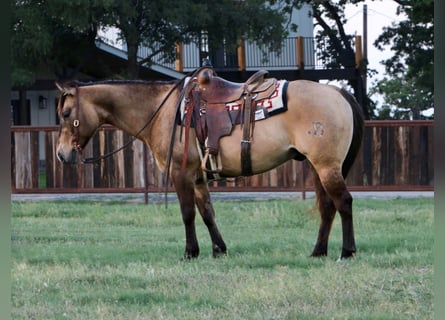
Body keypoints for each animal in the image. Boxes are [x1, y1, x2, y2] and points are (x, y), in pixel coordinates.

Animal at [55, 67, 362, 260]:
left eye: (66, 113)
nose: (61, 154)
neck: (164, 111)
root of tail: (338, 92)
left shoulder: (181, 174)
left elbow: (187, 213)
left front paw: (190, 252)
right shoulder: (199, 176)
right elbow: (207, 213)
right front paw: (219, 249)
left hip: (326, 166)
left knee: (343, 202)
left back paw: (346, 252)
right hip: (317, 166)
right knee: (327, 206)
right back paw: (318, 251)